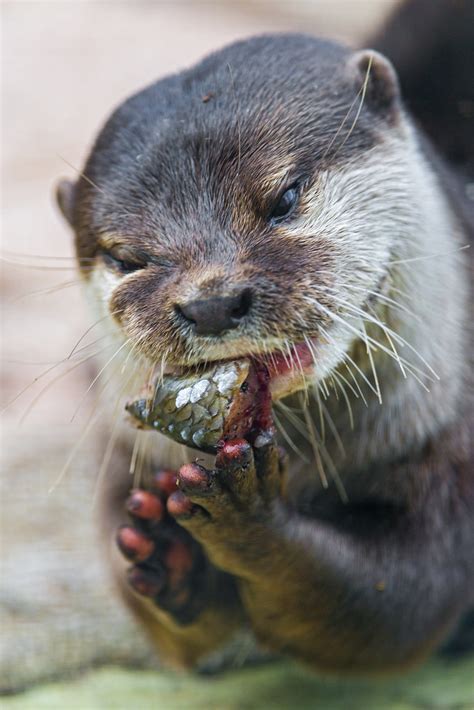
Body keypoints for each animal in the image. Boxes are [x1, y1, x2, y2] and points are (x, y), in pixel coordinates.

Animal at [54, 1, 470, 680]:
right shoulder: (120, 454)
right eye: (127, 258)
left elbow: (400, 601)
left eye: (286, 197)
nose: (211, 301)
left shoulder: (452, 452)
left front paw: (250, 518)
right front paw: (171, 558)